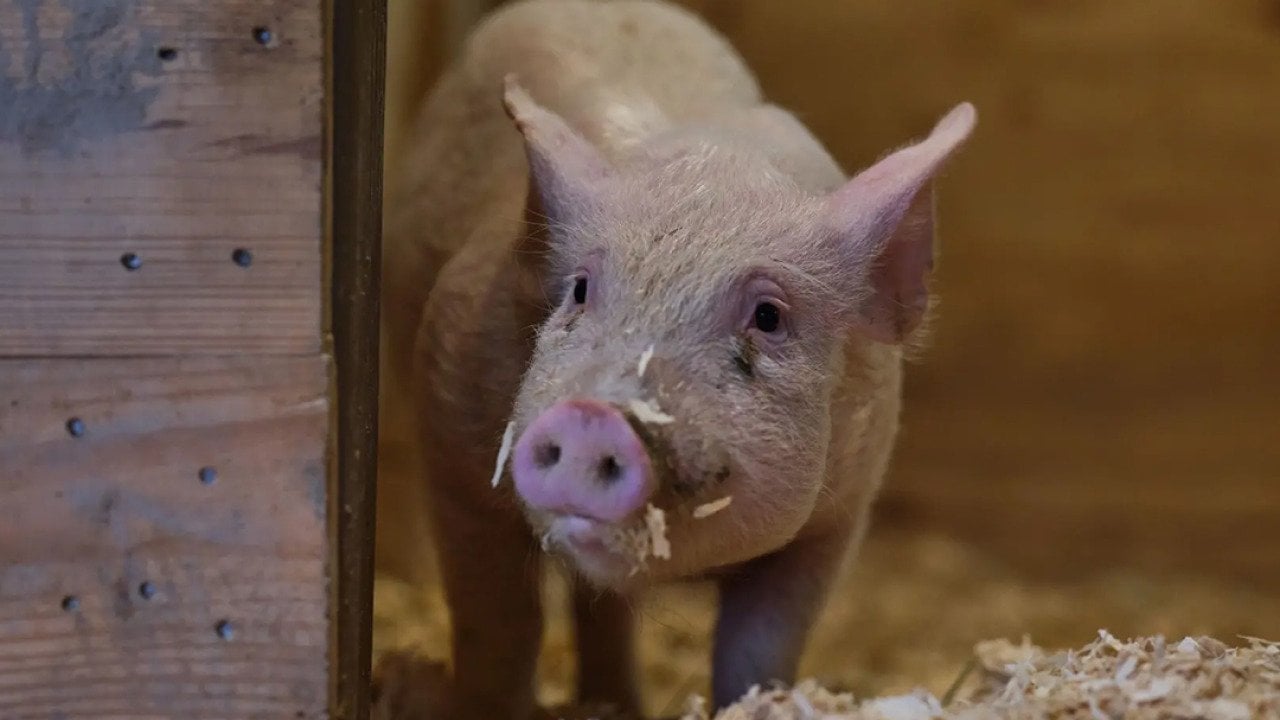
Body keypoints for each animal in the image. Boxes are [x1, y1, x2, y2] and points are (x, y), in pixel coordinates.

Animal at [379, 0, 976, 717]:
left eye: (768, 317)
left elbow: (760, 649)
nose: (592, 415)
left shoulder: (835, 521)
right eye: (581, 289)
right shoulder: (453, 444)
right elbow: (499, 625)